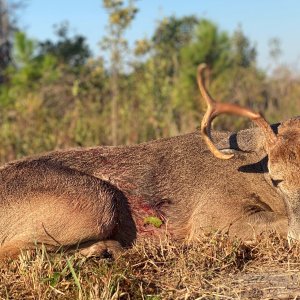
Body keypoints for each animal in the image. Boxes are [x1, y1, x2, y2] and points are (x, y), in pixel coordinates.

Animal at [0, 63, 298, 260]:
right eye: (275, 178)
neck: (253, 172)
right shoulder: (211, 218)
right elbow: (276, 223)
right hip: (94, 200)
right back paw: (104, 249)